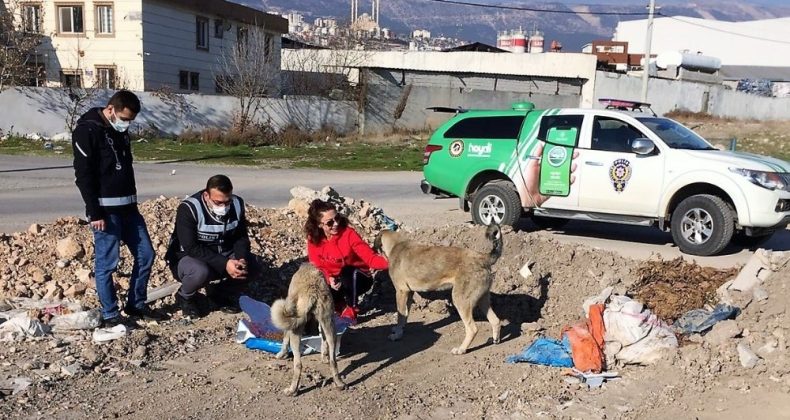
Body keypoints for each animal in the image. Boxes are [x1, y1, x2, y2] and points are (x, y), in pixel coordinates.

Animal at [272, 264, 346, 396]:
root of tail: (312, 292)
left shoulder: (289, 324)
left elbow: (284, 339)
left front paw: (280, 354)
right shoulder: (321, 324)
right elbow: (323, 342)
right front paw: (324, 357)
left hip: (296, 333)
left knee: (298, 364)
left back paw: (292, 390)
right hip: (329, 325)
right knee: (333, 360)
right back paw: (339, 383)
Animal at [376, 223, 502, 354]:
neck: (397, 244)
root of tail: (482, 257)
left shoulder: (401, 292)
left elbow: (400, 316)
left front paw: (397, 335)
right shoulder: (408, 293)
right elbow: (405, 315)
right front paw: (399, 329)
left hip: (460, 300)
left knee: (472, 329)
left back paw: (461, 349)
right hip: (483, 299)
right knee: (496, 321)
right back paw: (495, 339)